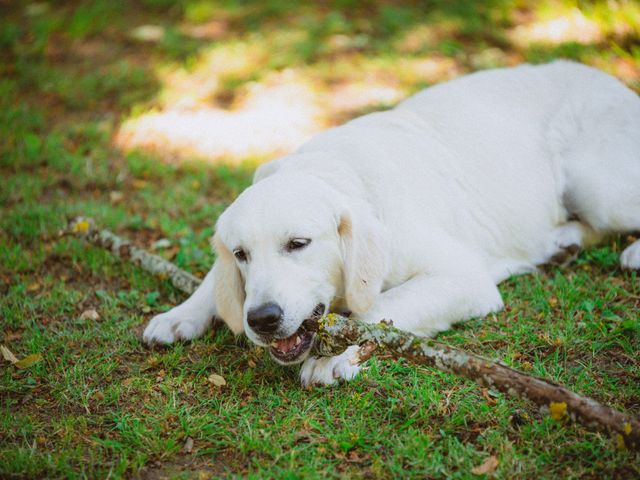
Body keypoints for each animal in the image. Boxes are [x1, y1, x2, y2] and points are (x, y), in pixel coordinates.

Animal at [144, 61, 640, 386]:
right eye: (241, 254)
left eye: (299, 243)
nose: (262, 319)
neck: (339, 171)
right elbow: (212, 280)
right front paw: (180, 314)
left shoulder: (463, 278)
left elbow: (380, 308)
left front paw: (334, 357)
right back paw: (563, 242)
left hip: (597, 187)